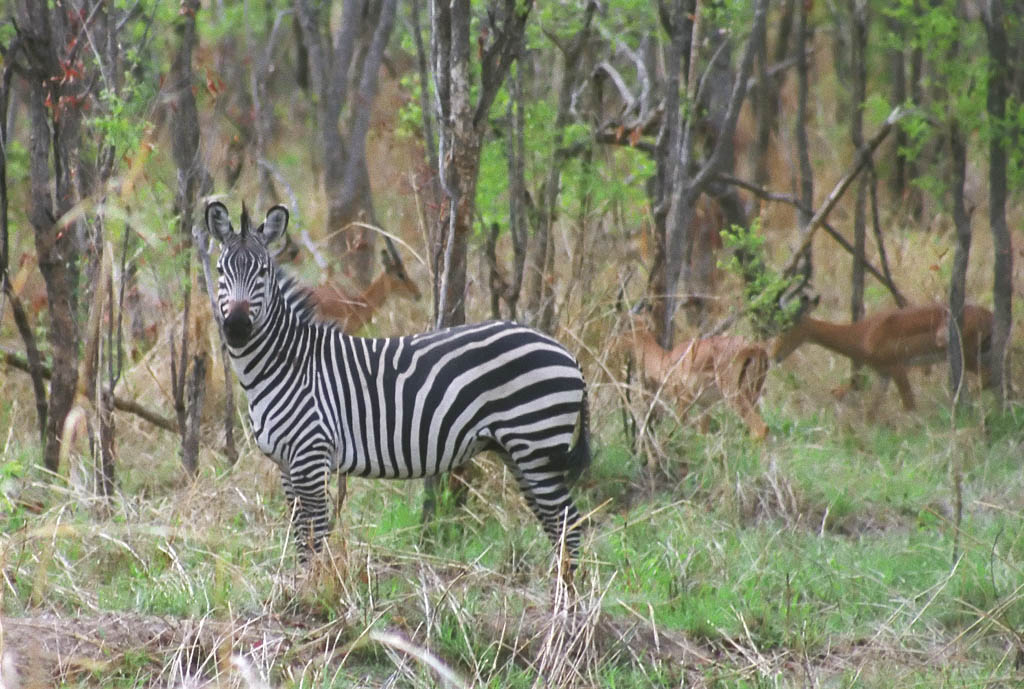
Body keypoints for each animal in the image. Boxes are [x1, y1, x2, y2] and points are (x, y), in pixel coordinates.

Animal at [205, 201, 593, 565]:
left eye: (263, 271)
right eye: (221, 270)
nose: (236, 327)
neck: (287, 364)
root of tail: (568, 354)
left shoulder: (311, 455)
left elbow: (314, 538)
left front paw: (318, 587)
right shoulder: (287, 464)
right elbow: (302, 539)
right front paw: (303, 584)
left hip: (536, 445)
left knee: (569, 527)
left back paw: (565, 595)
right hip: (520, 453)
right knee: (558, 528)